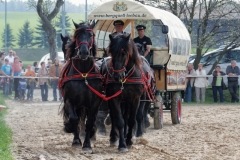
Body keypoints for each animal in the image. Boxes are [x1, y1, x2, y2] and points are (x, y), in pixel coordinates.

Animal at [59, 20, 102, 153]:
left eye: (91, 35)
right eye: (78, 36)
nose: (83, 52)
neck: (84, 73)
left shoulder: (95, 102)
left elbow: (89, 122)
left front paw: (87, 144)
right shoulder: (69, 100)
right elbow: (74, 119)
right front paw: (76, 140)